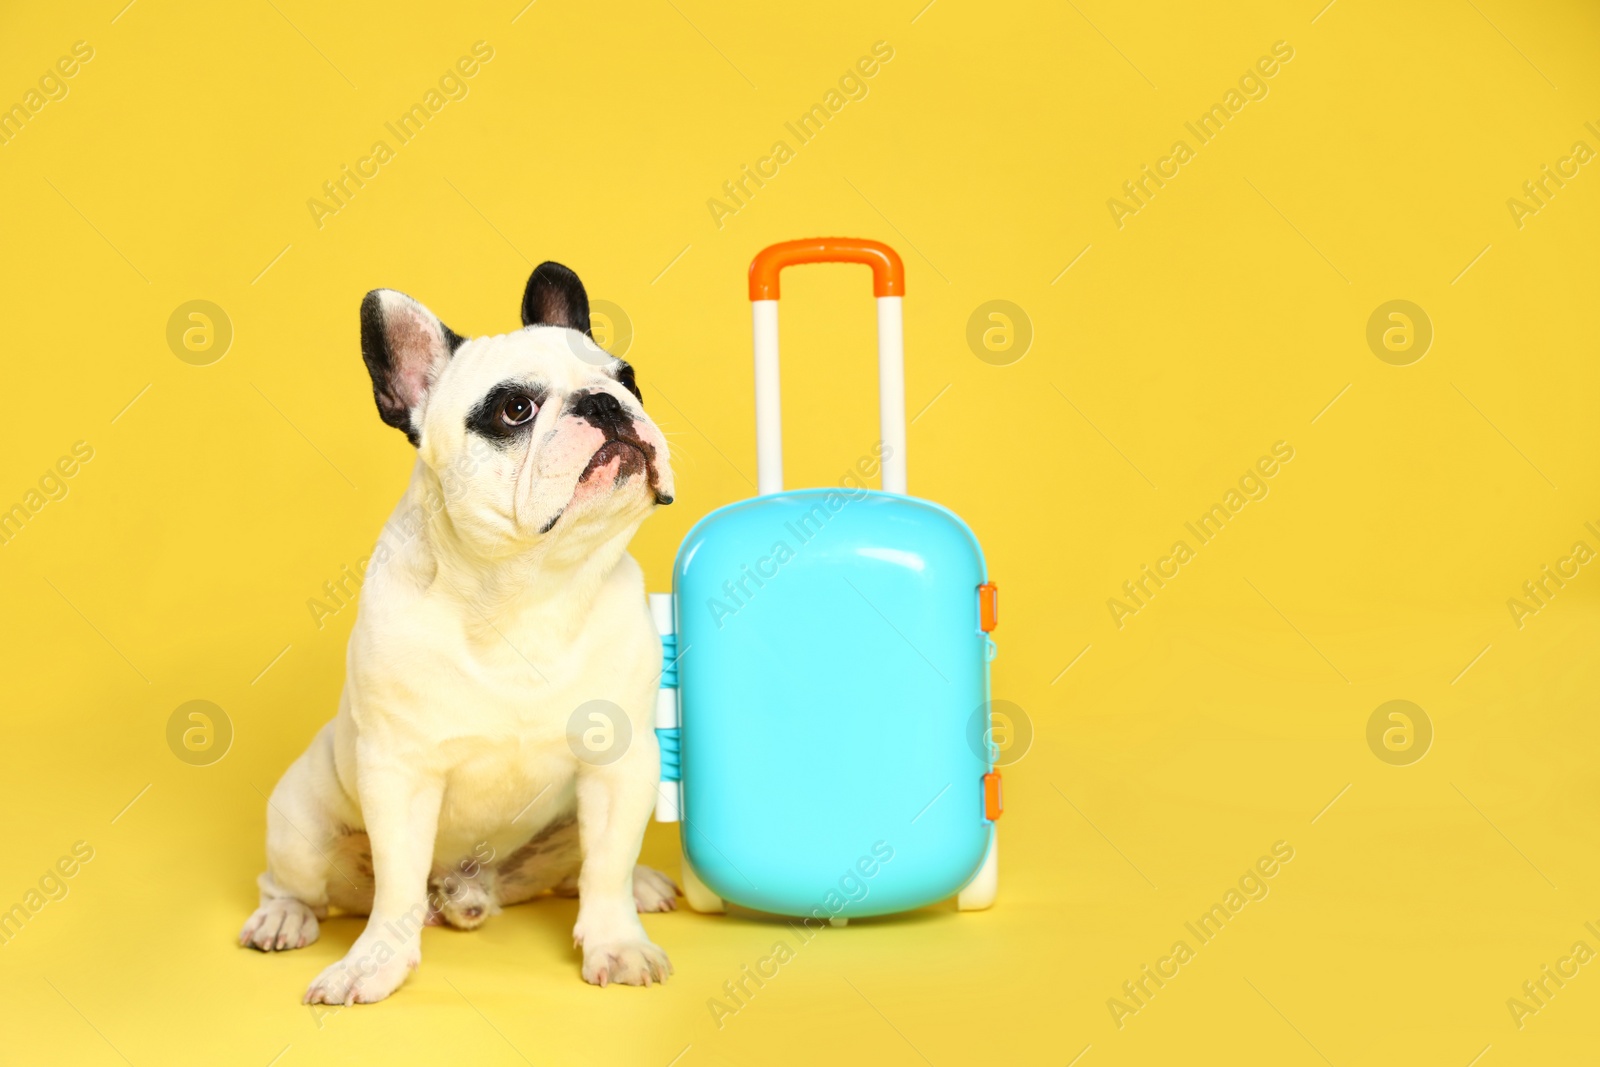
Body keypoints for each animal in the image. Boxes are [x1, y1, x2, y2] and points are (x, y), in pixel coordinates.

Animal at [240, 262, 678, 1004]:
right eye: (515, 410)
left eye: (629, 378)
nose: (604, 404)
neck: (530, 588)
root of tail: (469, 889)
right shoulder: (400, 774)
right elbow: (395, 886)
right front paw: (373, 962)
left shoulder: (620, 765)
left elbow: (608, 864)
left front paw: (617, 941)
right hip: (300, 823)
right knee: (293, 881)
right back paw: (283, 917)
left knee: (583, 869)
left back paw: (640, 886)